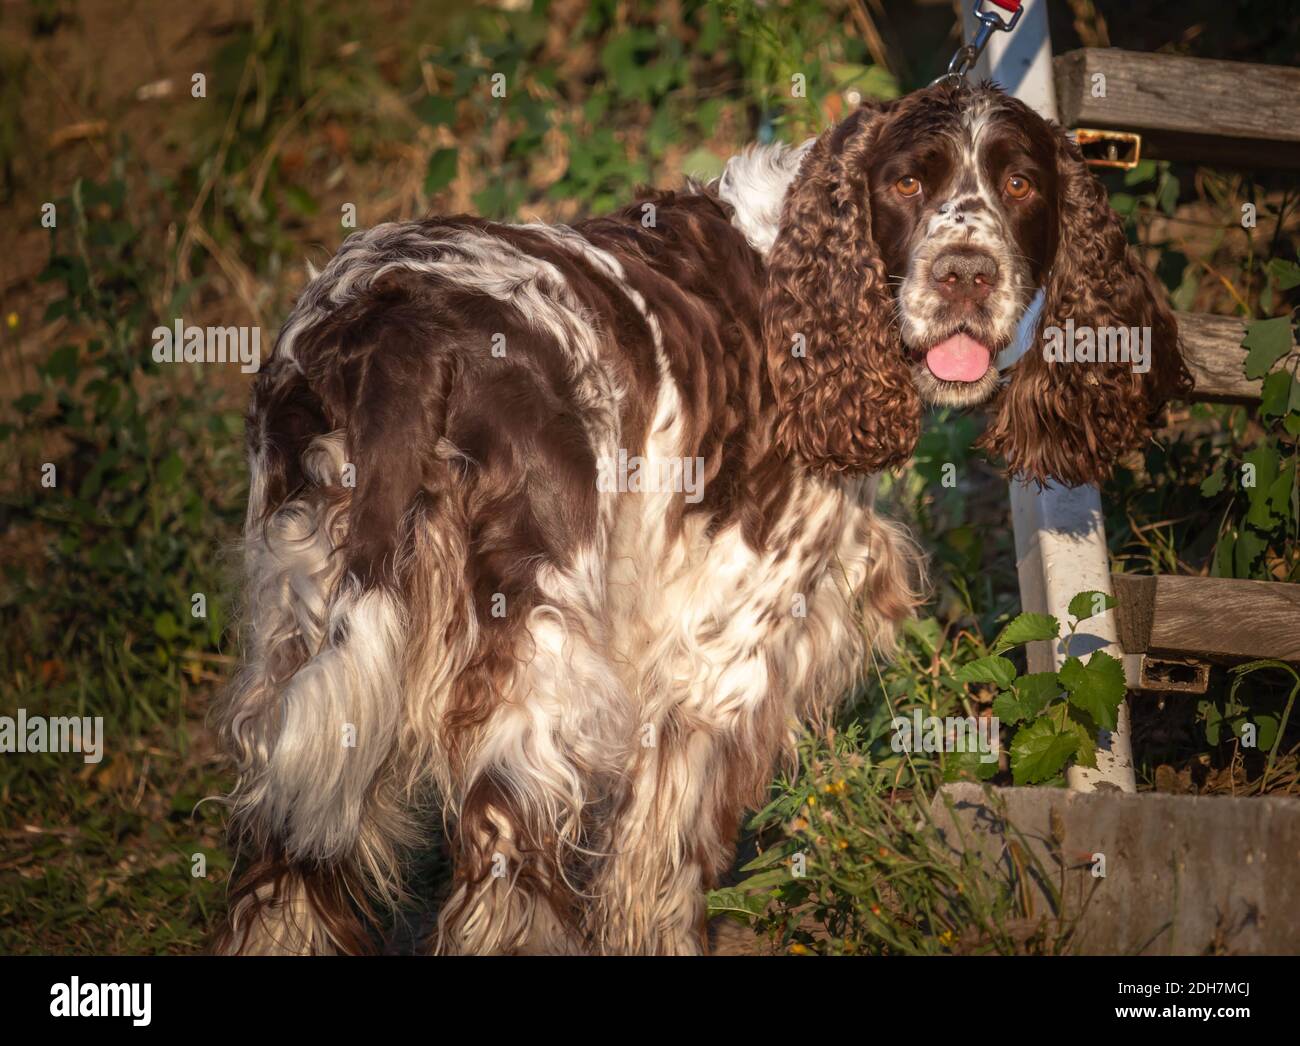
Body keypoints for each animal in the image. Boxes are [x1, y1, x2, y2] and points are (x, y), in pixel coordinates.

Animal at [213, 81, 1190, 956]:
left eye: (1020, 183)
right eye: (909, 184)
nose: (965, 275)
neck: (804, 273)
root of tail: (397, 329)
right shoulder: (722, 661)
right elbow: (666, 870)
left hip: (303, 630)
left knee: (282, 867)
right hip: (537, 677)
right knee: (505, 874)